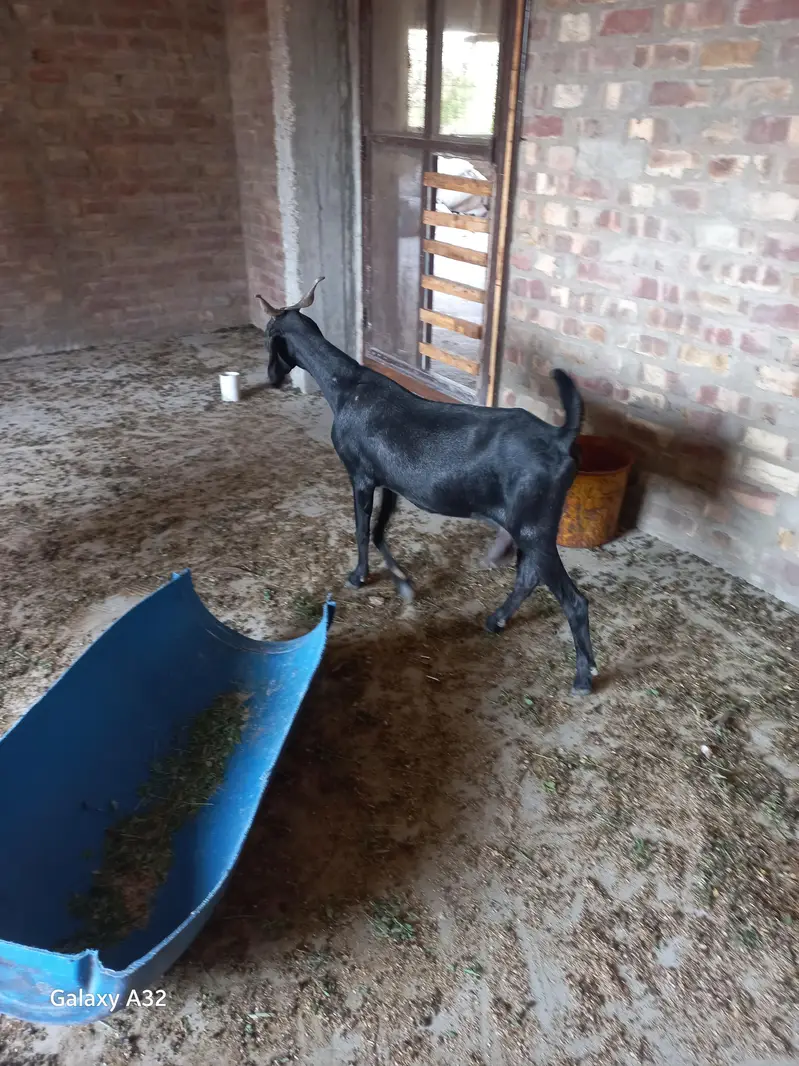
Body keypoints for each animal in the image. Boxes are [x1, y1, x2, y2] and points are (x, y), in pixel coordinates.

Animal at [256, 278, 598, 695]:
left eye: (269, 334)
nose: (272, 377)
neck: (346, 388)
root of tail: (560, 438)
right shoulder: (389, 482)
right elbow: (379, 531)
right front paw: (404, 583)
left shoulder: (360, 474)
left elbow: (361, 529)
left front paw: (358, 577)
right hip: (531, 526)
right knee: (528, 576)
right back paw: (496, 620)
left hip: (534, 525)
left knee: (572, 599)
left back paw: (582, 676)